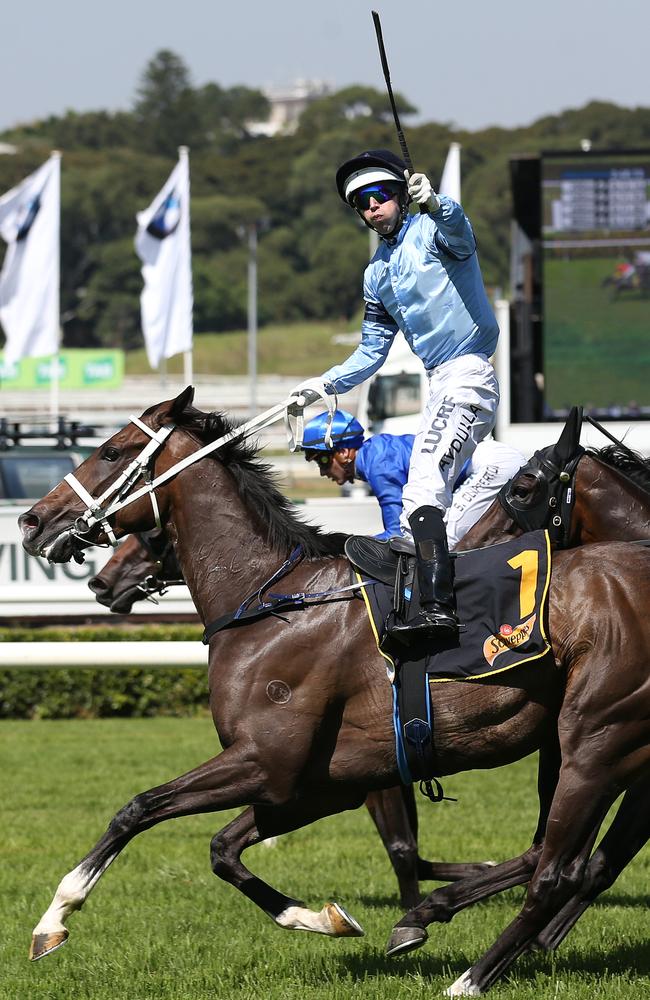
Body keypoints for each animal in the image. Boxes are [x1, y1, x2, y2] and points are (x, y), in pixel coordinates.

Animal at [17, 388, 648, 992]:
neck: (269, 598)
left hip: (595, 741)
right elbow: (223, 850)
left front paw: (54, 917)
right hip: (567, 746)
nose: (31, 522)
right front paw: (324, 917)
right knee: (553, 854)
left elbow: (138, 808)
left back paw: (469, 978)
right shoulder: (319, 781)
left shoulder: (267, 760)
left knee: (557, 869)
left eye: (110, 452)